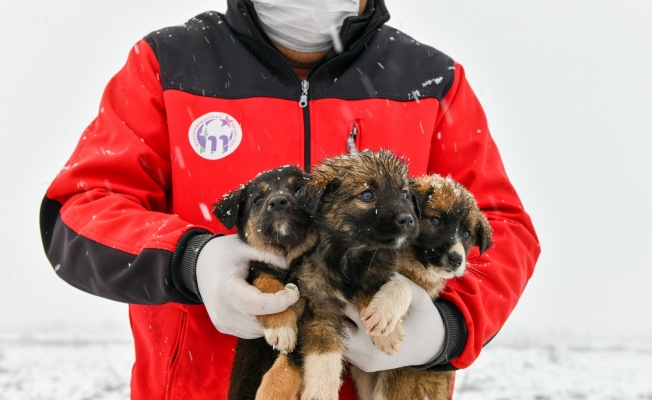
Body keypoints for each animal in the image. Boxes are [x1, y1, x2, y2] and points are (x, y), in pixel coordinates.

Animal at [213, 165, 318, 400]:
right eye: (257, 198)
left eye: (297, 189)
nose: (278, 201)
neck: (288, 262)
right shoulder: (258, 267)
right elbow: (268, 287)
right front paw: (281, 327)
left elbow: (287, 366)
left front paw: (271, 393)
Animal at [292, 151, 420, 400]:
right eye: (367, 194)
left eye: (403, 193)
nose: (408, 219)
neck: (351, 256)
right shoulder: (318, 306)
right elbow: (323, 354)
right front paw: (320, 392)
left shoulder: (382, 273)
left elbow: (401, 286)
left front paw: (385, 326)